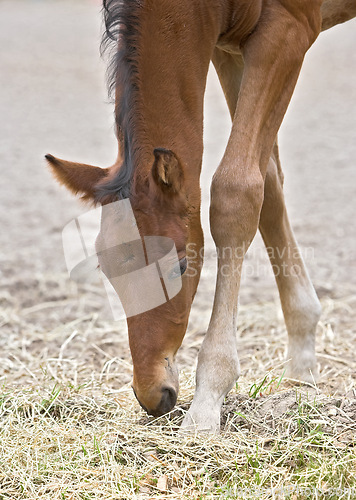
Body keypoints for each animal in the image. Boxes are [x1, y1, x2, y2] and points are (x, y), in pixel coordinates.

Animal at [47, 0, 356, 432]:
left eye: (179, 266)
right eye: (105, 270)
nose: (153, 395)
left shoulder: (288, 31)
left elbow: (236, 191)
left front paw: (208, 399)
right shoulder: (229, 49)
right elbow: (267, 180)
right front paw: (302, 366)